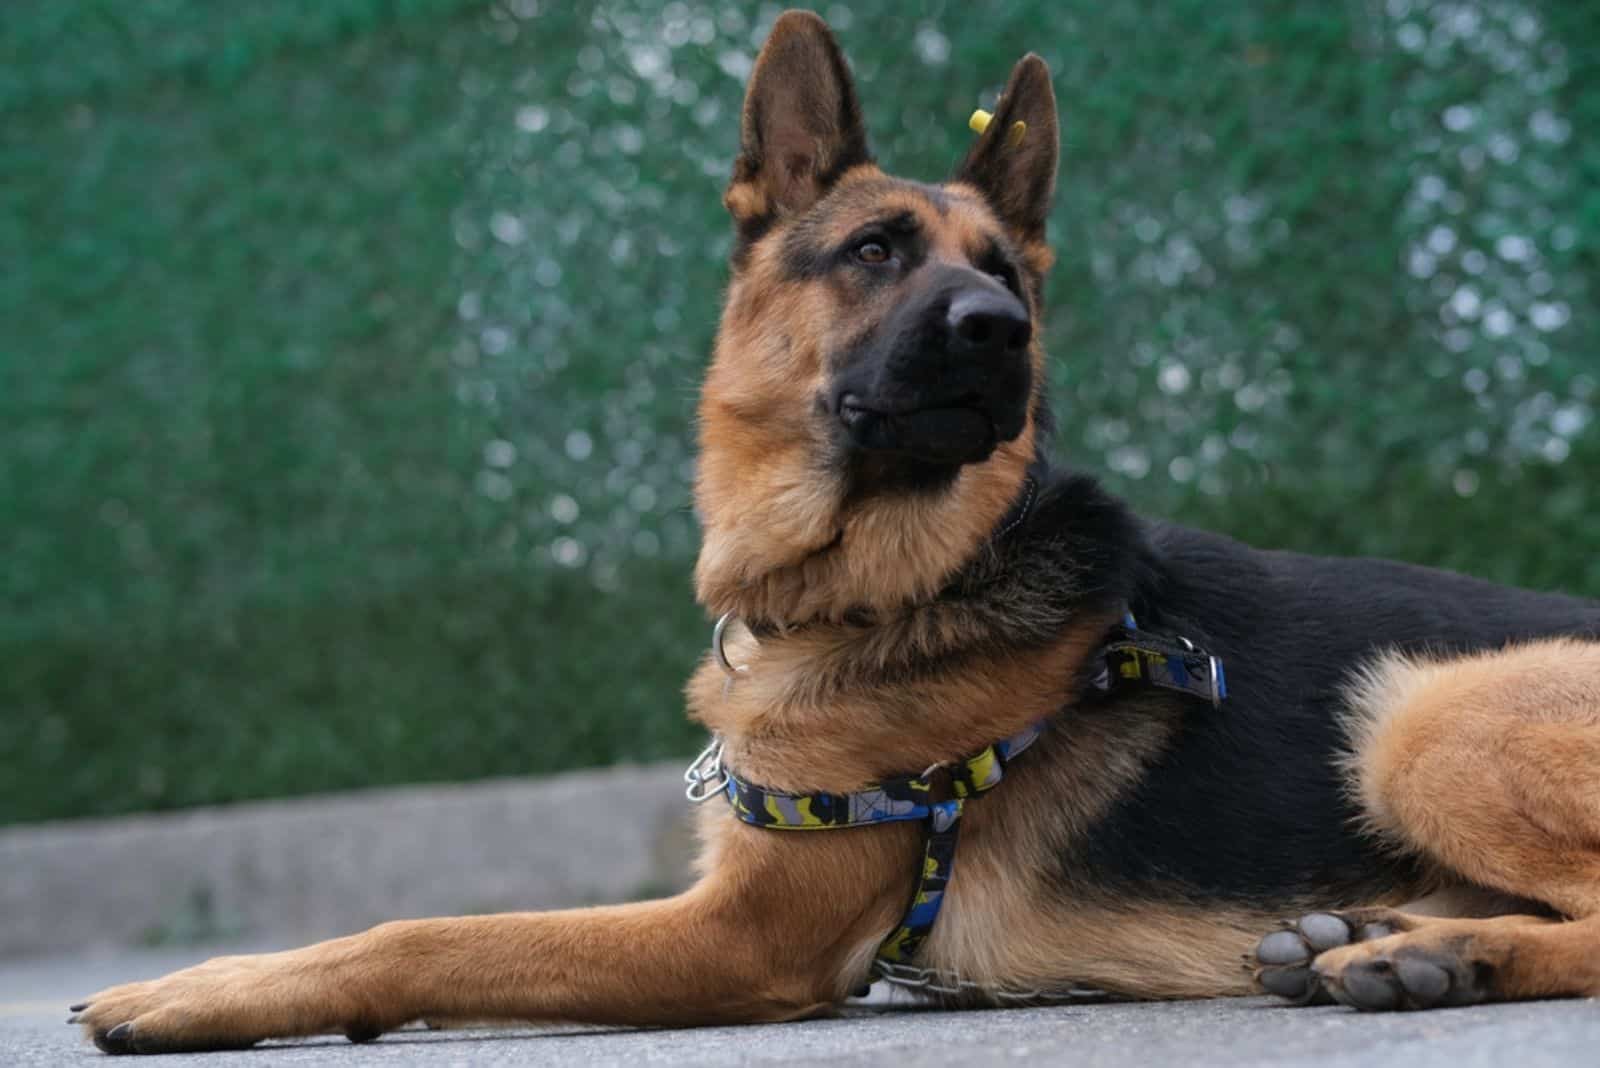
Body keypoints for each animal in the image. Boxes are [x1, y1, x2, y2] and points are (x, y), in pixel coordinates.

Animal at [75, 8, 1600, 1055]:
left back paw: (1437, 958)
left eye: (1005, 277)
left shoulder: (740, 934)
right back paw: (1398, 936)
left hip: (1419, 711)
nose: (1000, 331)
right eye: (873, 252)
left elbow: (434, 935)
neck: (897, 581)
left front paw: (202, 990)